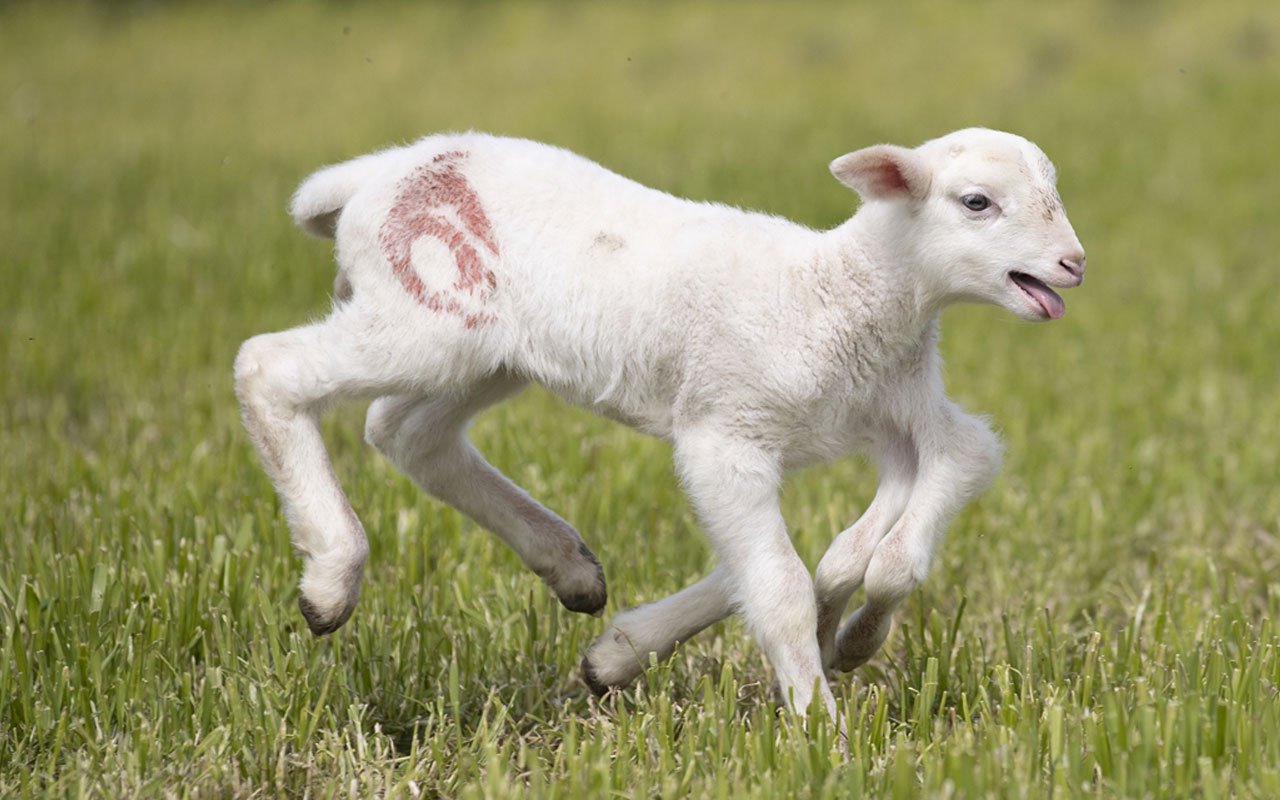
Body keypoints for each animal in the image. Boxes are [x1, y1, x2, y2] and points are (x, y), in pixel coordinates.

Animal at [235, 126, 1085, 716]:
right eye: (976, 202)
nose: (1074, 263)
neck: (837, 289)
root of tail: (373, 175)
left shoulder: (901, 411)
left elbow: (911, 513)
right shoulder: (725, 433)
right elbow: (779, 579)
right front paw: (820, 724)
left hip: (485, 352)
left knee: (405, 431)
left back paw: (570, 568)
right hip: (426, 318)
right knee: (268, 367)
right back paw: (330, 579)